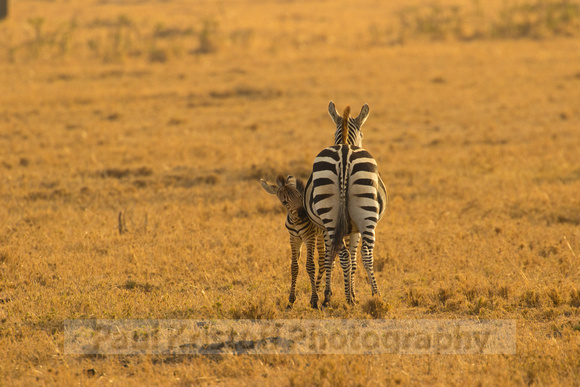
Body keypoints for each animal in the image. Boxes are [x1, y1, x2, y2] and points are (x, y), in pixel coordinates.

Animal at [262, 176, 326, 310]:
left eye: (300, 196)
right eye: (284, 202)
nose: (303, 214)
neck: (296, 221)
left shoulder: (309, 237)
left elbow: (310, 266)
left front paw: (314, 300)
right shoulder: (294, 239)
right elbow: (294, 267)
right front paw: (291, 301)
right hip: (320, 236)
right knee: (324, 262)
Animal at [304, 101, 390, 308]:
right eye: (363, 135)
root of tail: (344, 152)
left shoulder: (336, 229)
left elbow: (332, 257)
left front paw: (334, 294)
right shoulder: (353, 229)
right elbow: (350, 258)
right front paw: (348, 293)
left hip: (334, 216)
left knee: (345, 254)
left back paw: (351, 298)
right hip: (364, 216)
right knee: (365, 254)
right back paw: (374, 295)